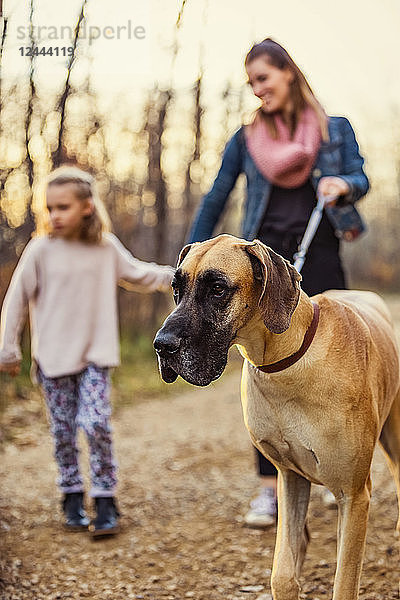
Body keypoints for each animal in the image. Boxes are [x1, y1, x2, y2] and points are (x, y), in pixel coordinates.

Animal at [153, 234, 400, 600]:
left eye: (217, 288)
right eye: (176, 288)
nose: (161, 346)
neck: (287, 361)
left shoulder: (354, 495)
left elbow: (344, 581)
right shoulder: (289, 477)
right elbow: (282, 573)